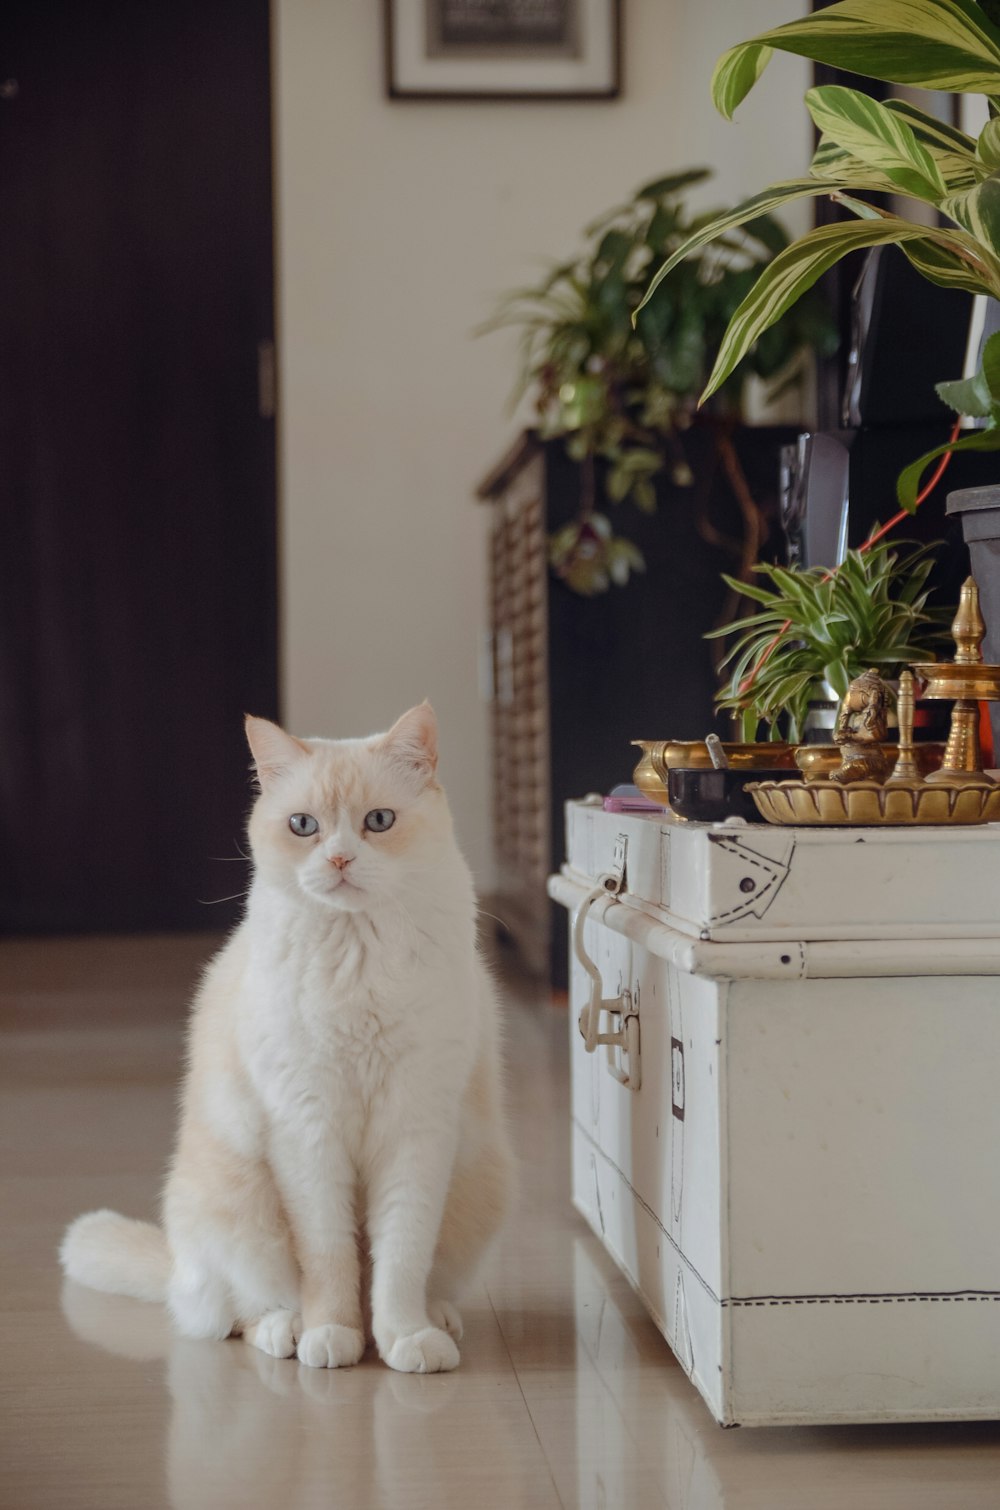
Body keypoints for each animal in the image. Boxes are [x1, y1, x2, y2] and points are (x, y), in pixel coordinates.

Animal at [60, 700, 516, 1377]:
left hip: (479, 1185)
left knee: (422, 1278)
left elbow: (400, 1256)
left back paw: (433, 1322)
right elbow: (328, 1257)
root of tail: (177, 1266)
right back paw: (291, 1330)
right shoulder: (307, 1127)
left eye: (378, 822)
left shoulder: (416, 1127)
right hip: (237, 1213)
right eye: (303, 826)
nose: (339, 860)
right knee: (237, 1313)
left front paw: (404, 1337)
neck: (357, 954)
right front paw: (334, 1336)